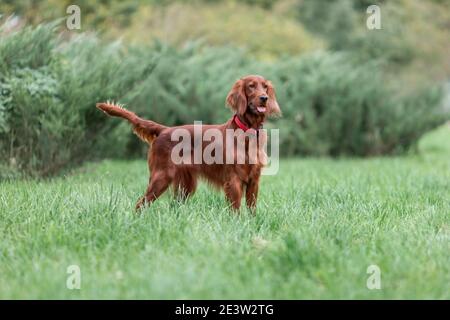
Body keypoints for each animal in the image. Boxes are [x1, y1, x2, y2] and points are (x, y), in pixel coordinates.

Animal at [96, 75, 280, 212]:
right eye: (251, 86)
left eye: (265, 87)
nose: (264, 98)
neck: (247, 131)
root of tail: (164, 129)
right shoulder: (233, 180)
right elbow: (235, 209)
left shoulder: (254, 180)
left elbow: (252, 209)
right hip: (161, 176)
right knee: (141, 203)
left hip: (185, 185)